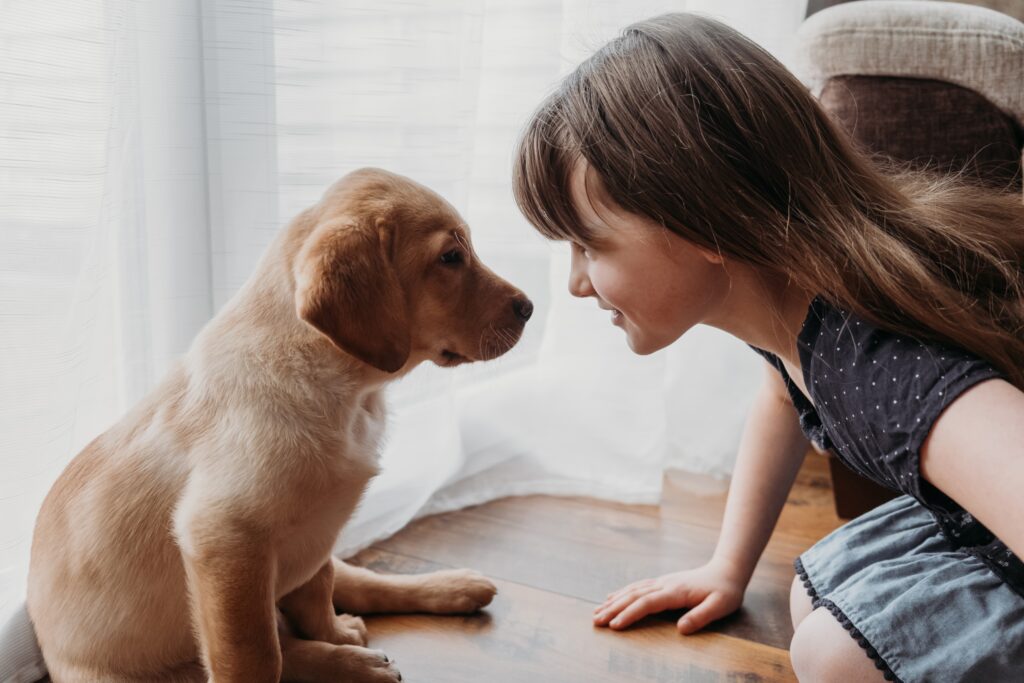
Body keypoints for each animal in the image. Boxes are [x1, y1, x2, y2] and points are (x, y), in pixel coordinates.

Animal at [28, 166, 532, 683]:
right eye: (450, 258)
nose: (529, 308)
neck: (348, 393)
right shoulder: (225, 539)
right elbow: (255, 654)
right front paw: (335, 648)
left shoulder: (315, 531)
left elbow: (316, 594)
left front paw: (335, 634)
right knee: (271, 649)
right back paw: (357, 662)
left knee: (355, 583)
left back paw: (448, 589)